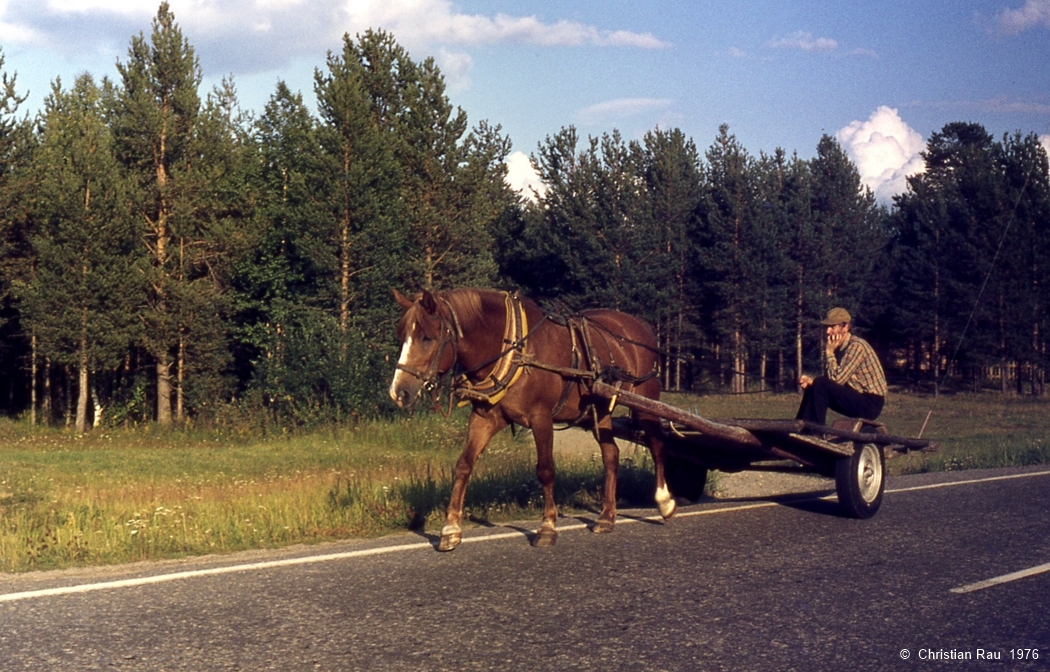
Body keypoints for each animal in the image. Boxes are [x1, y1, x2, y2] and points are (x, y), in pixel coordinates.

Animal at [390, 287, 676, 550]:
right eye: (402, 337)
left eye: (427, 338)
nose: (398, 392)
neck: (513, 349)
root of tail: (642, 326)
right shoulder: (484, 418)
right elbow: (463, 466)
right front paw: (450, 529)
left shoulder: (541, 418)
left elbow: (546, 470)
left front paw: (547, 527)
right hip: (601, 409)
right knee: (611, 455)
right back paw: (606, 517)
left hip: (646, 402)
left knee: (657, 445)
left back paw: (664, 502)